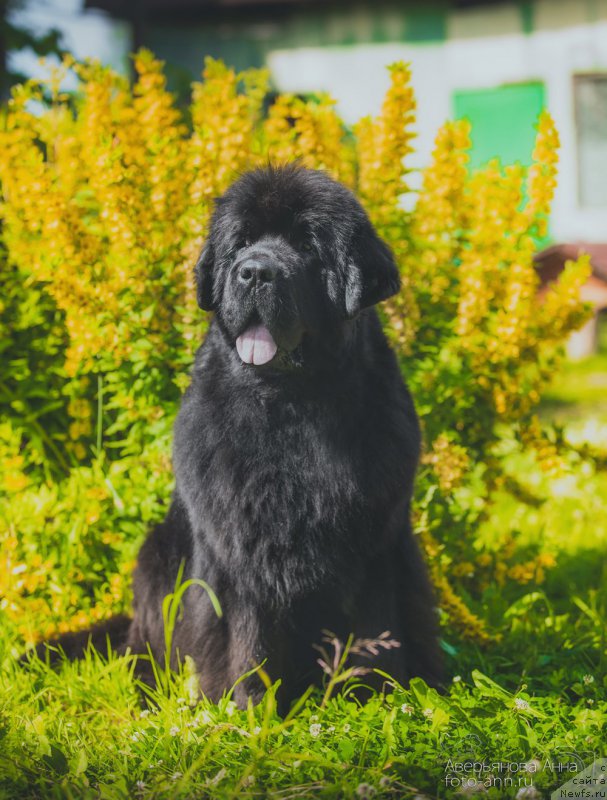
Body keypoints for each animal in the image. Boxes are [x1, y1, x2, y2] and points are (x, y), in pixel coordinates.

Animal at [35, 162, 442, 708]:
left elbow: (376, 632)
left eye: (308, 244)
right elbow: (245, 640)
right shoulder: (239, 547)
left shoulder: (375, 542)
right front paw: (249, 709)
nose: (254, 271)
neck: (290, 406)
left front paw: (375, 703)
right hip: (156, 558)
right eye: (242, 242)